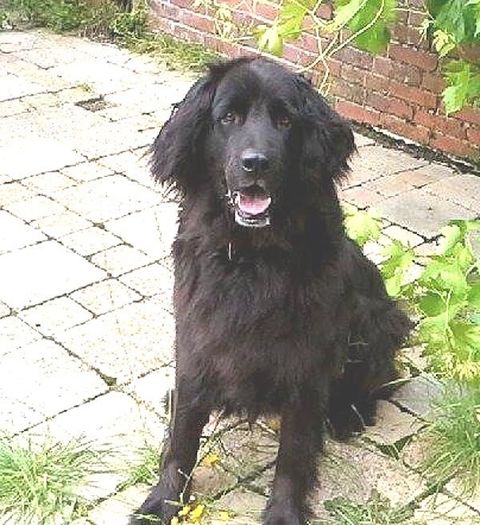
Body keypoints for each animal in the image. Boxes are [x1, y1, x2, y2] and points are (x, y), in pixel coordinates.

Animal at [130, 57, 411, 525]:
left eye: (285, 120)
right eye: (228, 117)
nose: (256, 163)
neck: (251, 257)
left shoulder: (306, 364)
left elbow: (293, 454)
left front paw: (283, 512)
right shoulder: (195, 341)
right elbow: (182, 437)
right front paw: (162, 502)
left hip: (379, 320)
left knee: (378, 379)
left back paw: (349, 412)